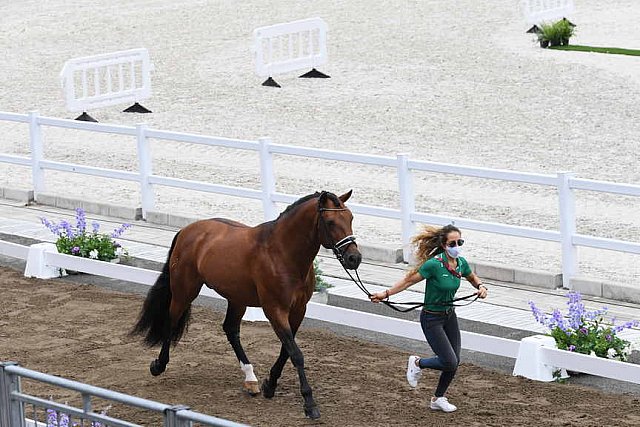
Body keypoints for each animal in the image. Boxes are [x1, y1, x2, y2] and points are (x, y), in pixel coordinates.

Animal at [131, 190, 360, 418]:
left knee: (230, 329)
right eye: (330, 222)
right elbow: (296, 354)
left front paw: (270, 385)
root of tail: (187, 230)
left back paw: (251, 379)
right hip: (184, 291)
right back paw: (159, 365)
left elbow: (286, 350)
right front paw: (310, 404)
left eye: (350, 218)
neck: (282, 254)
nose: (354, 258)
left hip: (236, 299)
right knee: (171, 321)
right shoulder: (275, 310)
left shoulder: (298, 311)